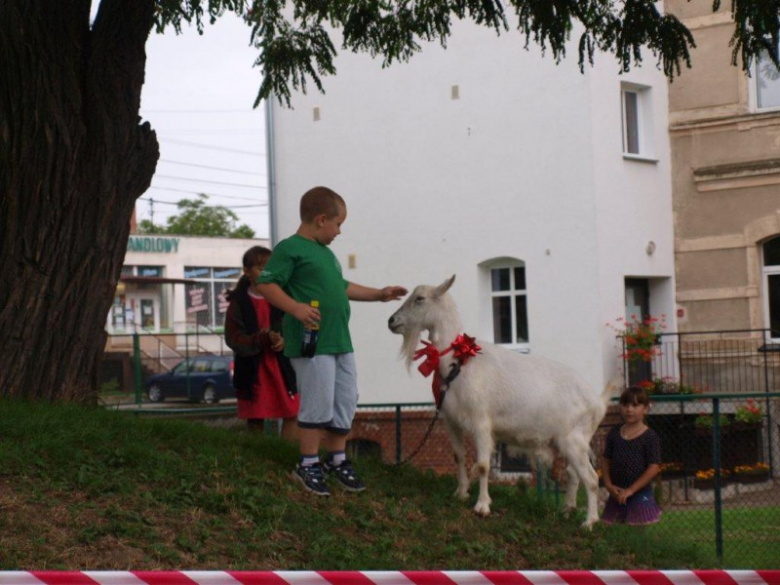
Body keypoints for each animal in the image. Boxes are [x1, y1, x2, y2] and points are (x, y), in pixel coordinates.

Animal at [386, 274, 612, 524]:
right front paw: (460, 493)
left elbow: (483, 466)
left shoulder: (482, 423)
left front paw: (482, 505)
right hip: (571, 441)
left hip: (574, 438)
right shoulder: (451, 421)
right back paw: (567, 510)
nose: (391, 321)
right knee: (573, 474)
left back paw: (589, 522)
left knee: (591, 478)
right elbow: (458, 456)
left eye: (420, 298)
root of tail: (597, 401)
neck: (459, 362)